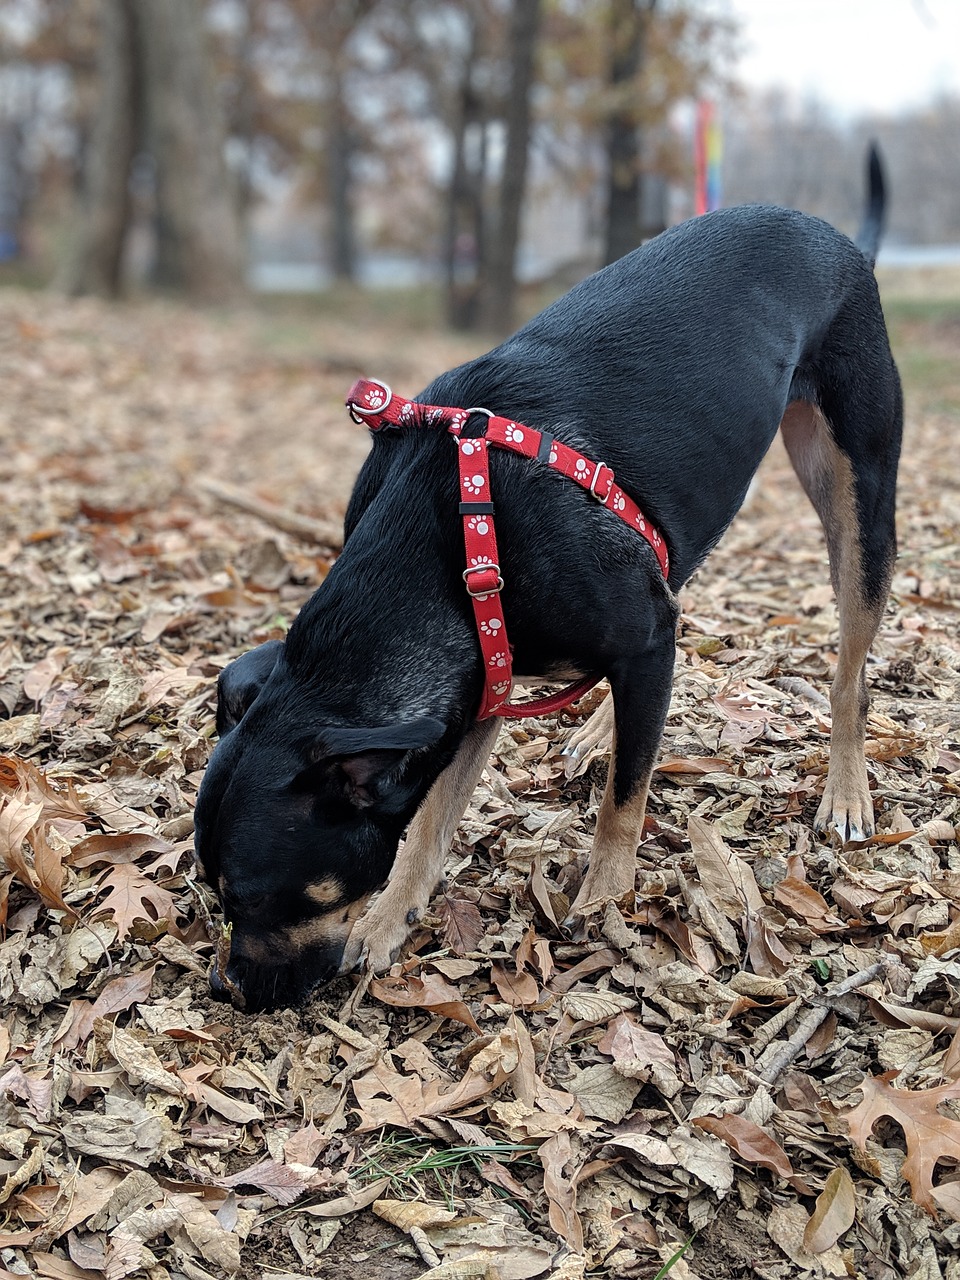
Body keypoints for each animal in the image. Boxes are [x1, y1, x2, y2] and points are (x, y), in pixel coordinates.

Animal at [193, 149, 901, 1008]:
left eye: (259, 897)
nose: (228, 988)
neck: (448, 531)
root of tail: (840, 240)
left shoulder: (624, 638)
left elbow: (623, 803)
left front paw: (603, 899)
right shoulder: (482, 674)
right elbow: (429, 820)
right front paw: (392, 916)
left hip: (858, 497)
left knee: (848, 673)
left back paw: (846, 790)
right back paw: (605, 728)